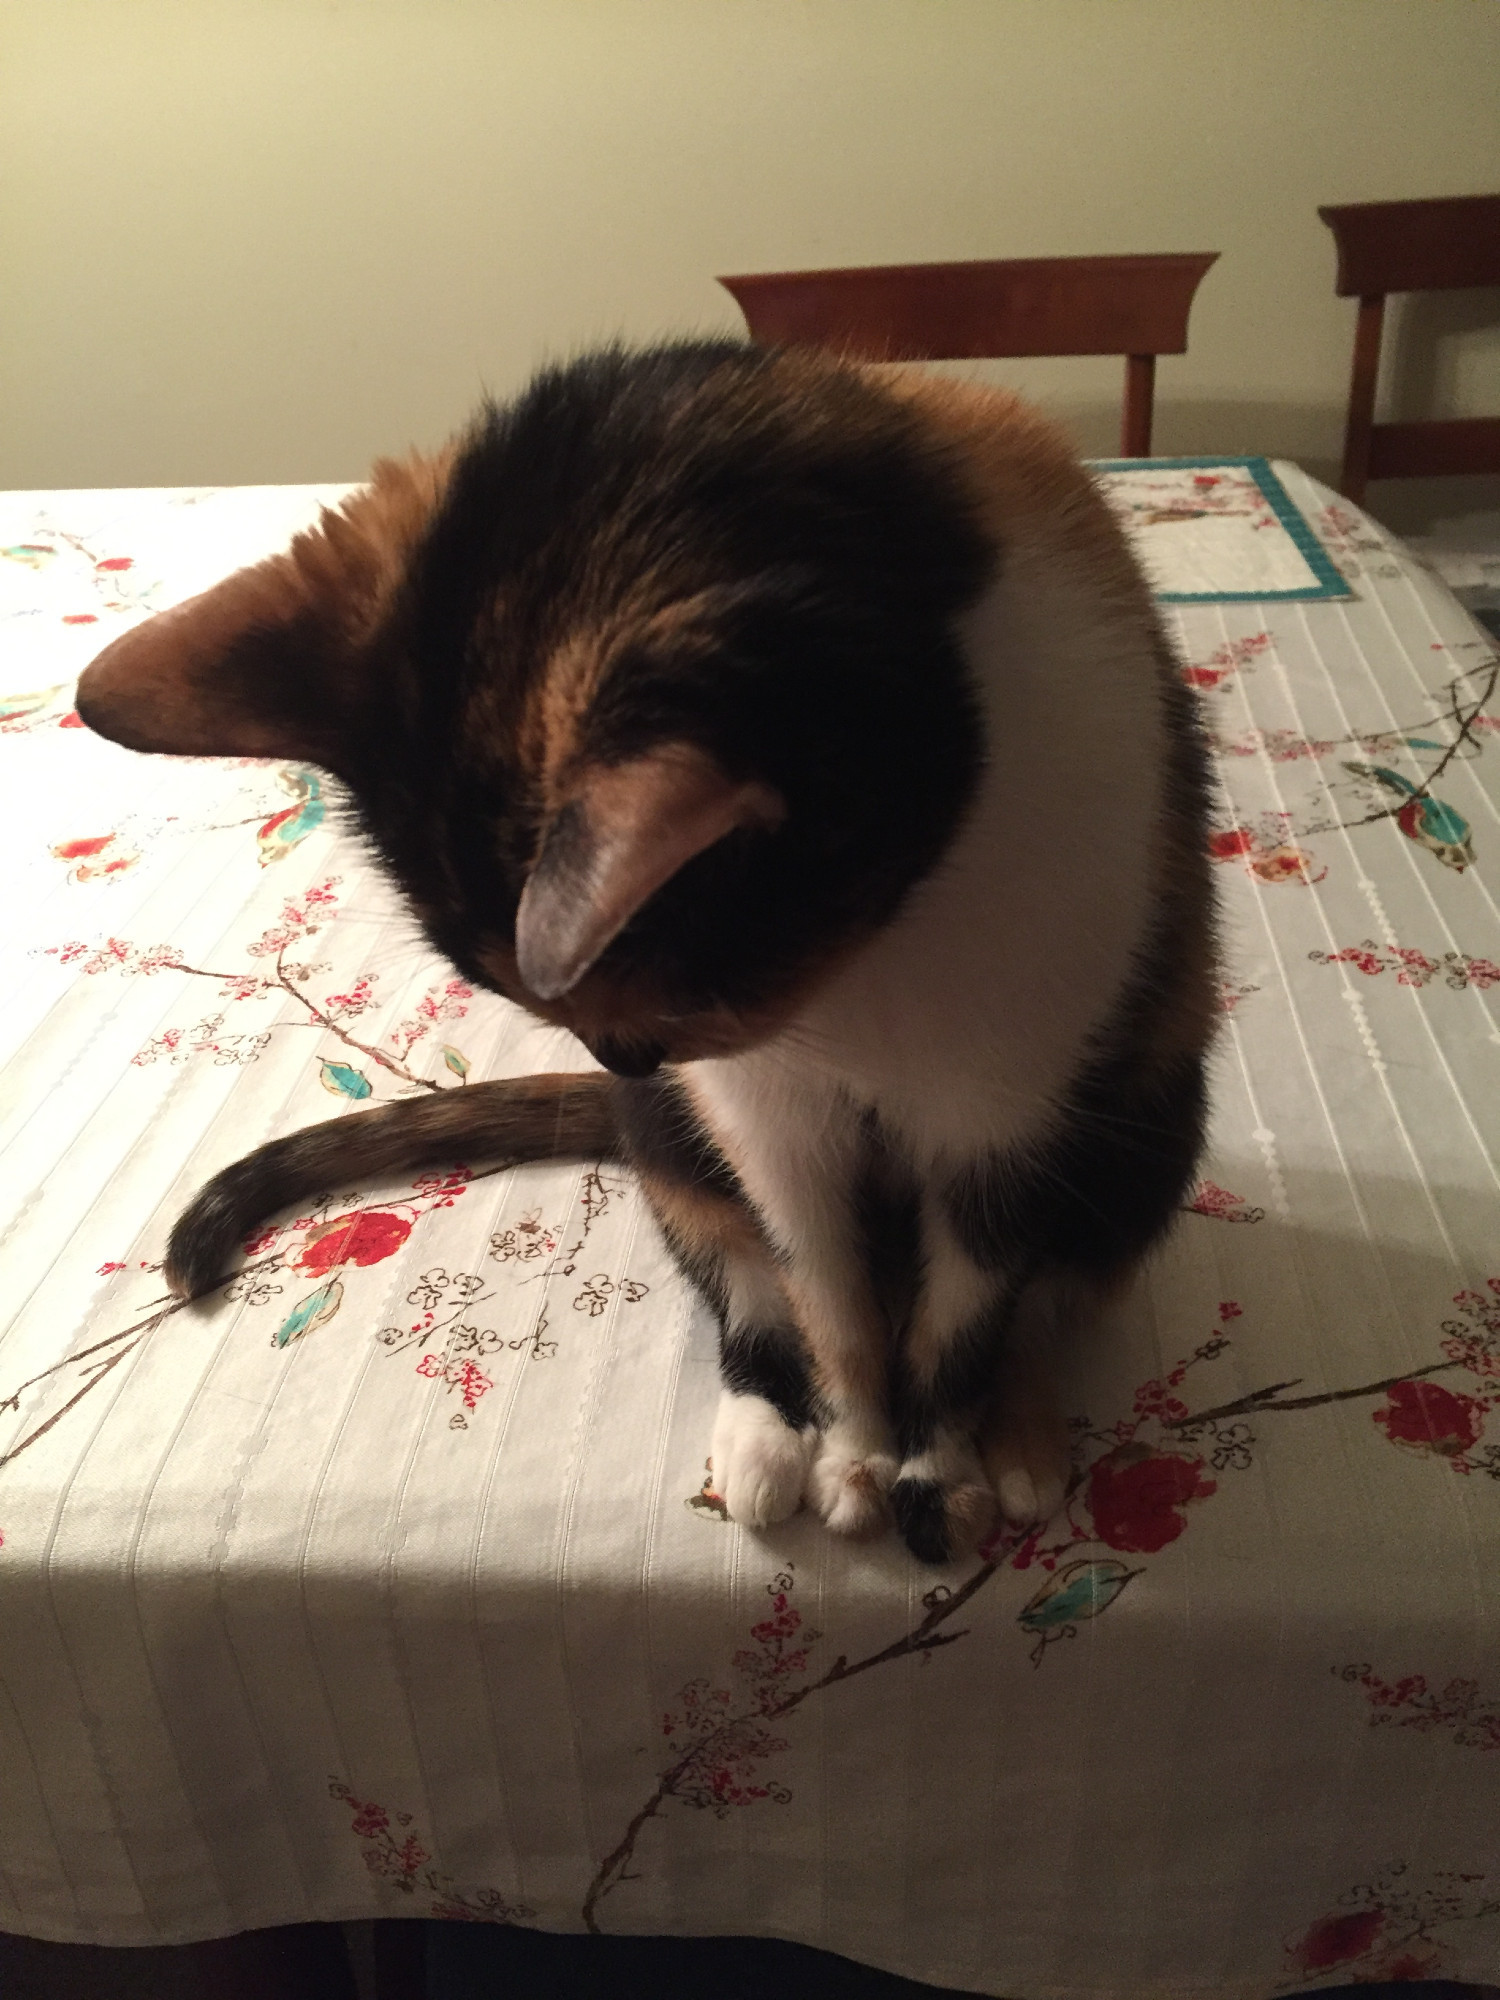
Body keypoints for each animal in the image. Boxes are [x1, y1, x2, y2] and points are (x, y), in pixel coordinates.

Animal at [76, 340, 1216, 1560]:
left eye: (686, 989)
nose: (625, 1059)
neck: (875, 966)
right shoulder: (766, 1117)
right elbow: (825, 1290)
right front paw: (859, 1448)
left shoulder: (1005, 1110)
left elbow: (963, 1322)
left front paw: (937, 1462)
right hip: (673, 1140)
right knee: (741, 1274)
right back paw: (763, 1445)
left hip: (1149, 1117)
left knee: (1053, 1293)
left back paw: (1022, 1437)